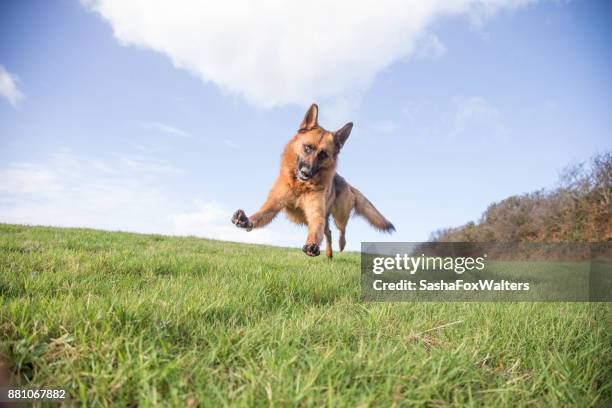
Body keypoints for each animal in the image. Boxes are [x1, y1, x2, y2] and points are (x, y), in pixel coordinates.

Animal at [232, 103, 394, 256]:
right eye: (307, 148)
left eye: (323, 155)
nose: (306, 173)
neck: (300, 186)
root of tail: (344, 181)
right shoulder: (273, 206)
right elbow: (259, 215)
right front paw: (246, 220)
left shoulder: (316, 214)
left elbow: (315, 230)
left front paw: (312, 245)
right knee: (328, 232)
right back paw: (329, 254)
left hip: (340, 216)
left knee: (341, 231)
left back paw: (340, 245)